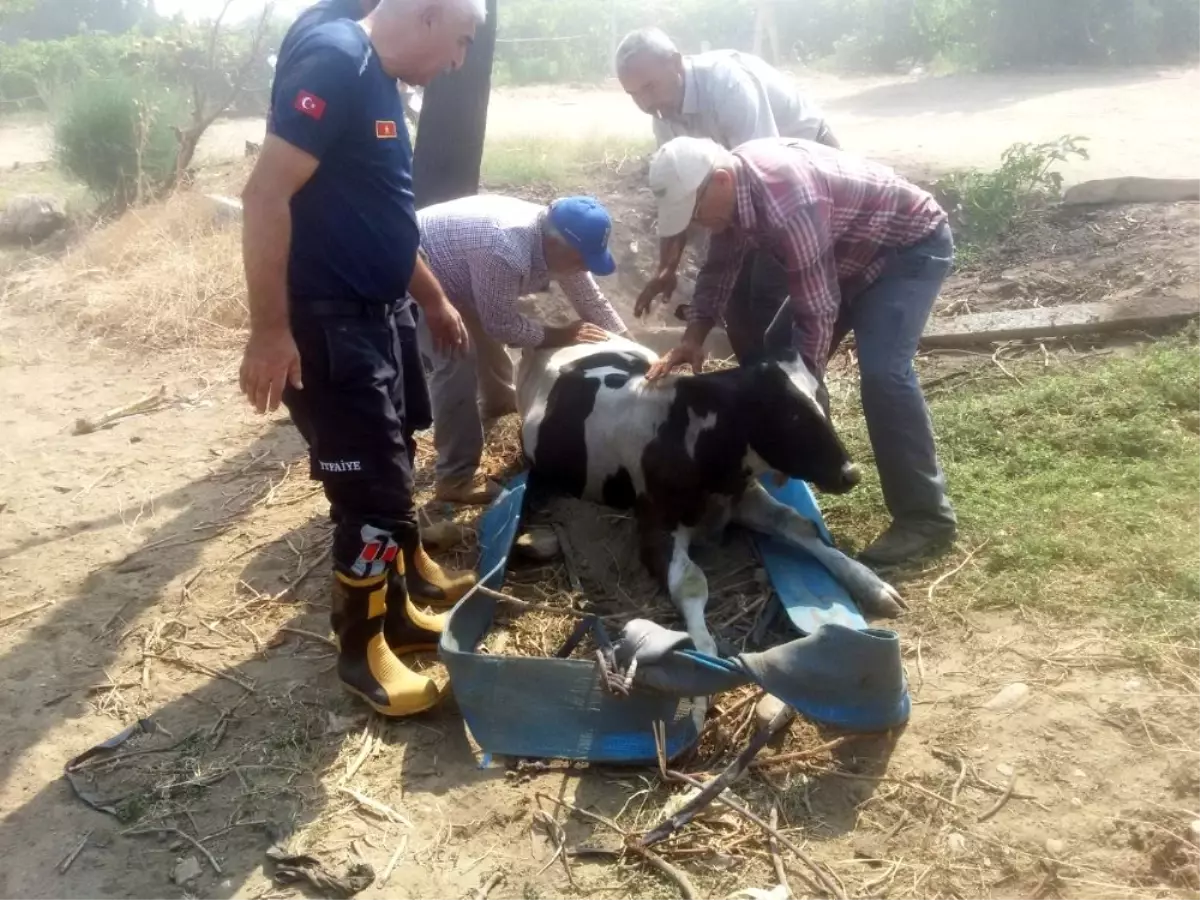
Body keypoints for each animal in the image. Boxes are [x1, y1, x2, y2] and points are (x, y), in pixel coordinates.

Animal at [516, 336, 902, 657]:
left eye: (824, 399)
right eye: (791, 415)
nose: (851, 474)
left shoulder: (741, 495)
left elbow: (799, 524)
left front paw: (872, 585)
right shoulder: (655, 525)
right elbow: (689, 582)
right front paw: (703, 652)